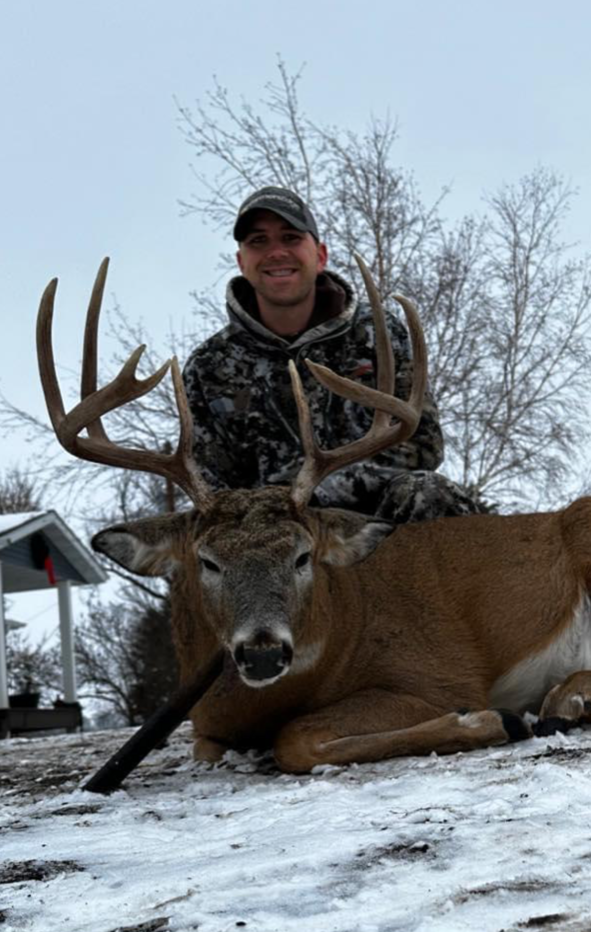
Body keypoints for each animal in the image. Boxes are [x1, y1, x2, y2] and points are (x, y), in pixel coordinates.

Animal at [36, 256, 591, 774]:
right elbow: (209, 746)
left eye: (303, 557)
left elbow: (295, 739)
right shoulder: (206, 725)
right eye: (207, 561)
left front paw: (493, 720)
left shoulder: (433, 676)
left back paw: (564, 701)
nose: (263, 652)